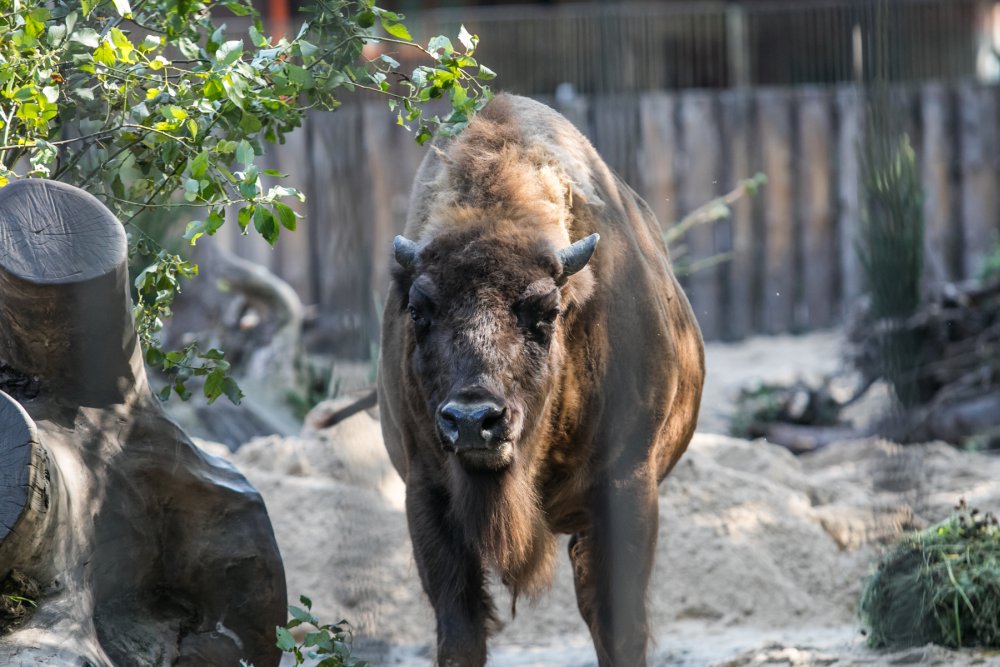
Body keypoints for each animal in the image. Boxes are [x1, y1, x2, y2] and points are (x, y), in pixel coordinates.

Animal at [378, 95, 708, 667]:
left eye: (546, 312)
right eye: (418, 311)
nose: (474, 421)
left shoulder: (627, 487)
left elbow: (621, 627)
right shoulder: (426, 494)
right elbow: (459, 631)